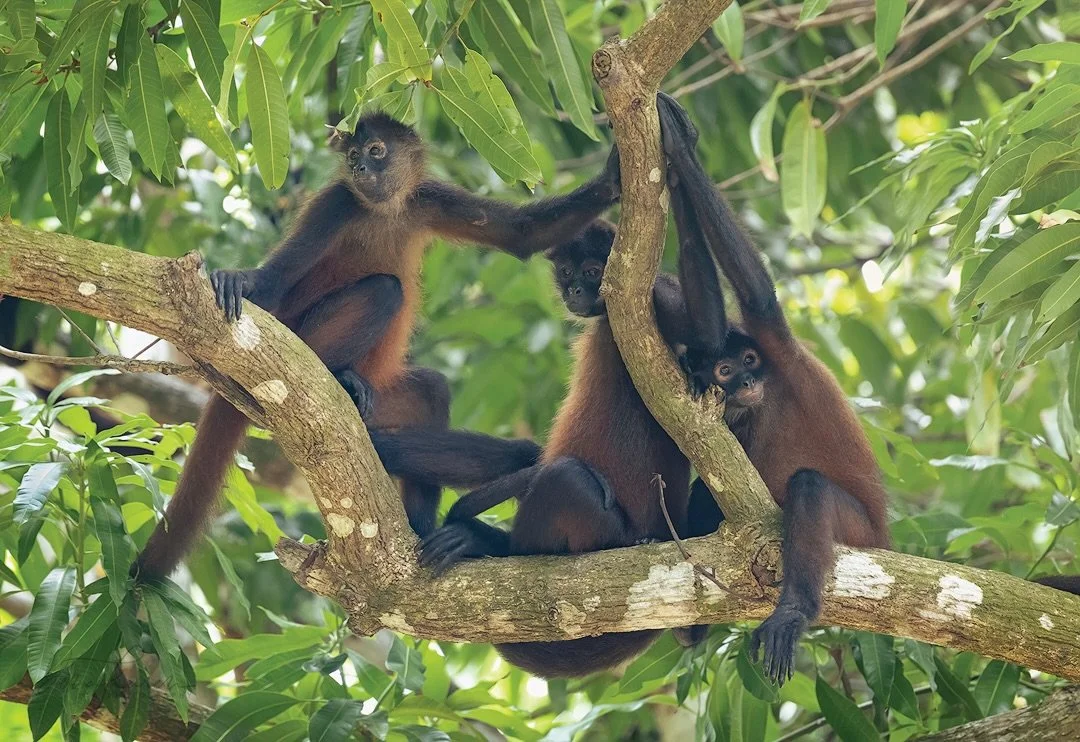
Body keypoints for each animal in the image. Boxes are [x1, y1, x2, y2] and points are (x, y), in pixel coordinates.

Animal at [131, 111, 622, 581]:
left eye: (376, 150)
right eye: (353, 157)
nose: (360, 168)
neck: (383, 210)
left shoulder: (428, 199)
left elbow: (523, 233)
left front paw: (612, 177)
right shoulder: (336, 203)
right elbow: (274, 280)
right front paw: (241, 280)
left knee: (431, 389)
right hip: (299, 337)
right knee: (384, 291)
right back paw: (340, 378)